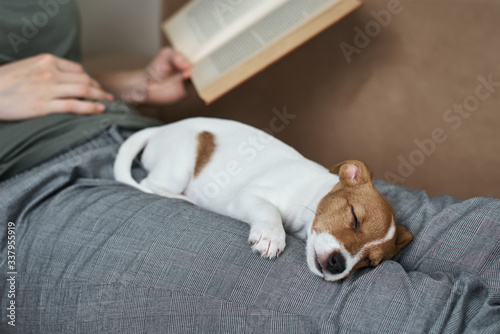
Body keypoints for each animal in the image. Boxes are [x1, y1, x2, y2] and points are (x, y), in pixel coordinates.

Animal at [115, 117, 412, 282]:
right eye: (354, 217)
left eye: (369, 263)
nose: (338, 264)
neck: (310, 196)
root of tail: (159, 130)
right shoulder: (248, 196)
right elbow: (270, 211)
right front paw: (271, 236)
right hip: (181, 162)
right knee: (150, 184)